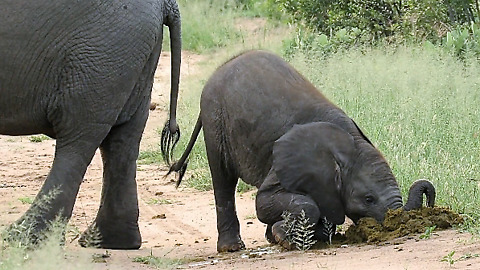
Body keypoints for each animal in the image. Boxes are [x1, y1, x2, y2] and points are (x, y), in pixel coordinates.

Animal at [1, 0, 182, 249]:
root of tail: (166, 3)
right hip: (128, 54)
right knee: (122, 139)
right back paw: (109, 242)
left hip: (103, 52)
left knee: (78, 138)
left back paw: (22, 239)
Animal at [169, 50, 436, 253]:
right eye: (368, 199)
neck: (347, 145)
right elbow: (267, 202)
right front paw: (284, 238)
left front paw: (282, 235)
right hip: (215, 117)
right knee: (223, 177)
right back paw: (232, 248)